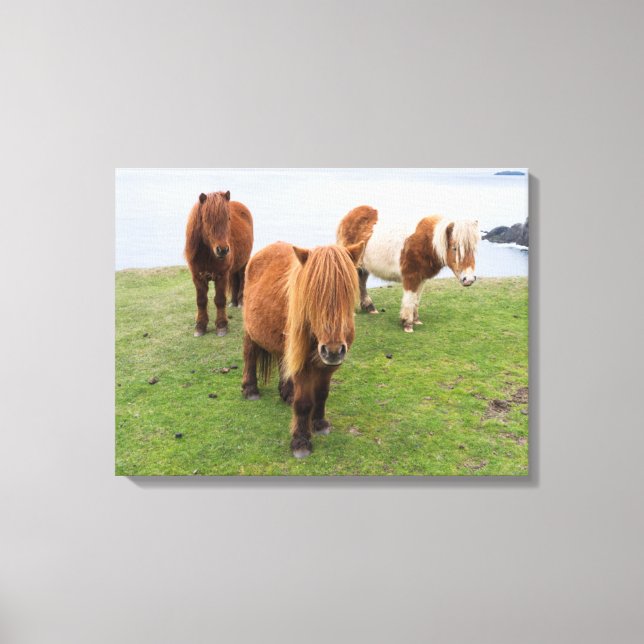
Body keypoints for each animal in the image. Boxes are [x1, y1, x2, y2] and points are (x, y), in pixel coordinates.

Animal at [184, 190, 253, 337]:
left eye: (228, 219)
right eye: (206, 219)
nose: (223, 250)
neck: (208, 254)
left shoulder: (221, 276)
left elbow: (220, 300)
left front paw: (222, 326)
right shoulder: (198, 277)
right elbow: (201, 301)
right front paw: (200, 326)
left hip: (243, 263)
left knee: (242, 278)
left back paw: (240, 302)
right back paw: (233, 302)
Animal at [241, 241, 364, 458]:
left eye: (347, 293)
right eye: (312, 297)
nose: (333, 351)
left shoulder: (328, 367)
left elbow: (322, 394)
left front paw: (319, 423)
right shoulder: (304, 366)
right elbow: (304, 403)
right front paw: (301, 441)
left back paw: (286, 393)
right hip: (250, 332)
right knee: (249, 356)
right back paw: (250, 389)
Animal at [337, 205, 480, 332]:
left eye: (473, 249)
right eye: (455, 248)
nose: (469, 279)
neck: (427, 242)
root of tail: (349, 216)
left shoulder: (421, 278)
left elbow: (416, 299)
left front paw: (416, 320)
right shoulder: (411, 277)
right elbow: (409, 299)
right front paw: (407, 324)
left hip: (363, 267)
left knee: (361, 283)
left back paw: (370, 307)